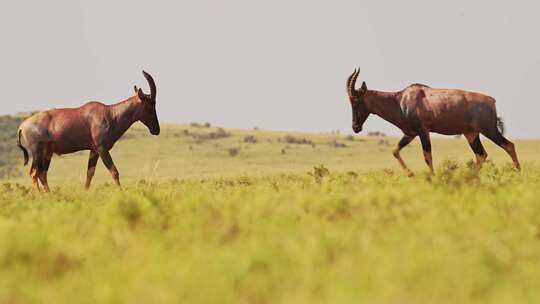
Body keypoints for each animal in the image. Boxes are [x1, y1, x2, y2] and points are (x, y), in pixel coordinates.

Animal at [16, 70, 159, 191]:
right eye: (150, 106)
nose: (156, 130)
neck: (109, 113)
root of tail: (22, 126)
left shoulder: (94, 150)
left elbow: (90, 173)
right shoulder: (102, 149)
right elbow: (114, 171)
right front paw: (121, 192)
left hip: (48, 153)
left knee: (42, 174)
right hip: (37, 152)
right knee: (34, 173)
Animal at [346, 67, 520, 175]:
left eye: (356, 100)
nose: (355, 127)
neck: (401, 99)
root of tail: (491, 101)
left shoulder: (423, 131)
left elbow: (427, 156)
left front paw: (432, 178)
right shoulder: (410, 134)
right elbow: (395, 151)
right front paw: (411, 174)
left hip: (489, 130)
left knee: (509, 145)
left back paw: (518, 174)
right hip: (471, 134)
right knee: (481, 155)